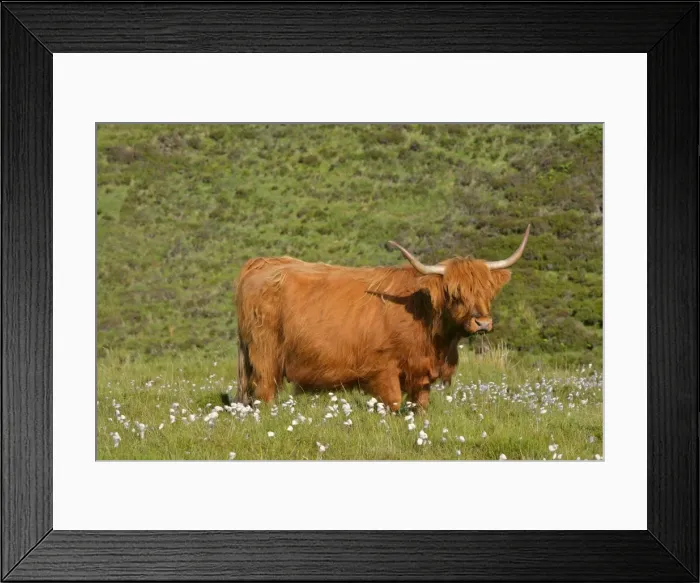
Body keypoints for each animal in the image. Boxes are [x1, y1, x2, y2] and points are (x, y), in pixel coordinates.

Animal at [235, 225, 530, 411]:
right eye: (454, 293)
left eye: (486, 291)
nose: (483, 323)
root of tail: (262, 263)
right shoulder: (382, 370)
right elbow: (394, 405)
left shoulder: (421, 374)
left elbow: (420, 408)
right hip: (265, 354)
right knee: (265, 393)